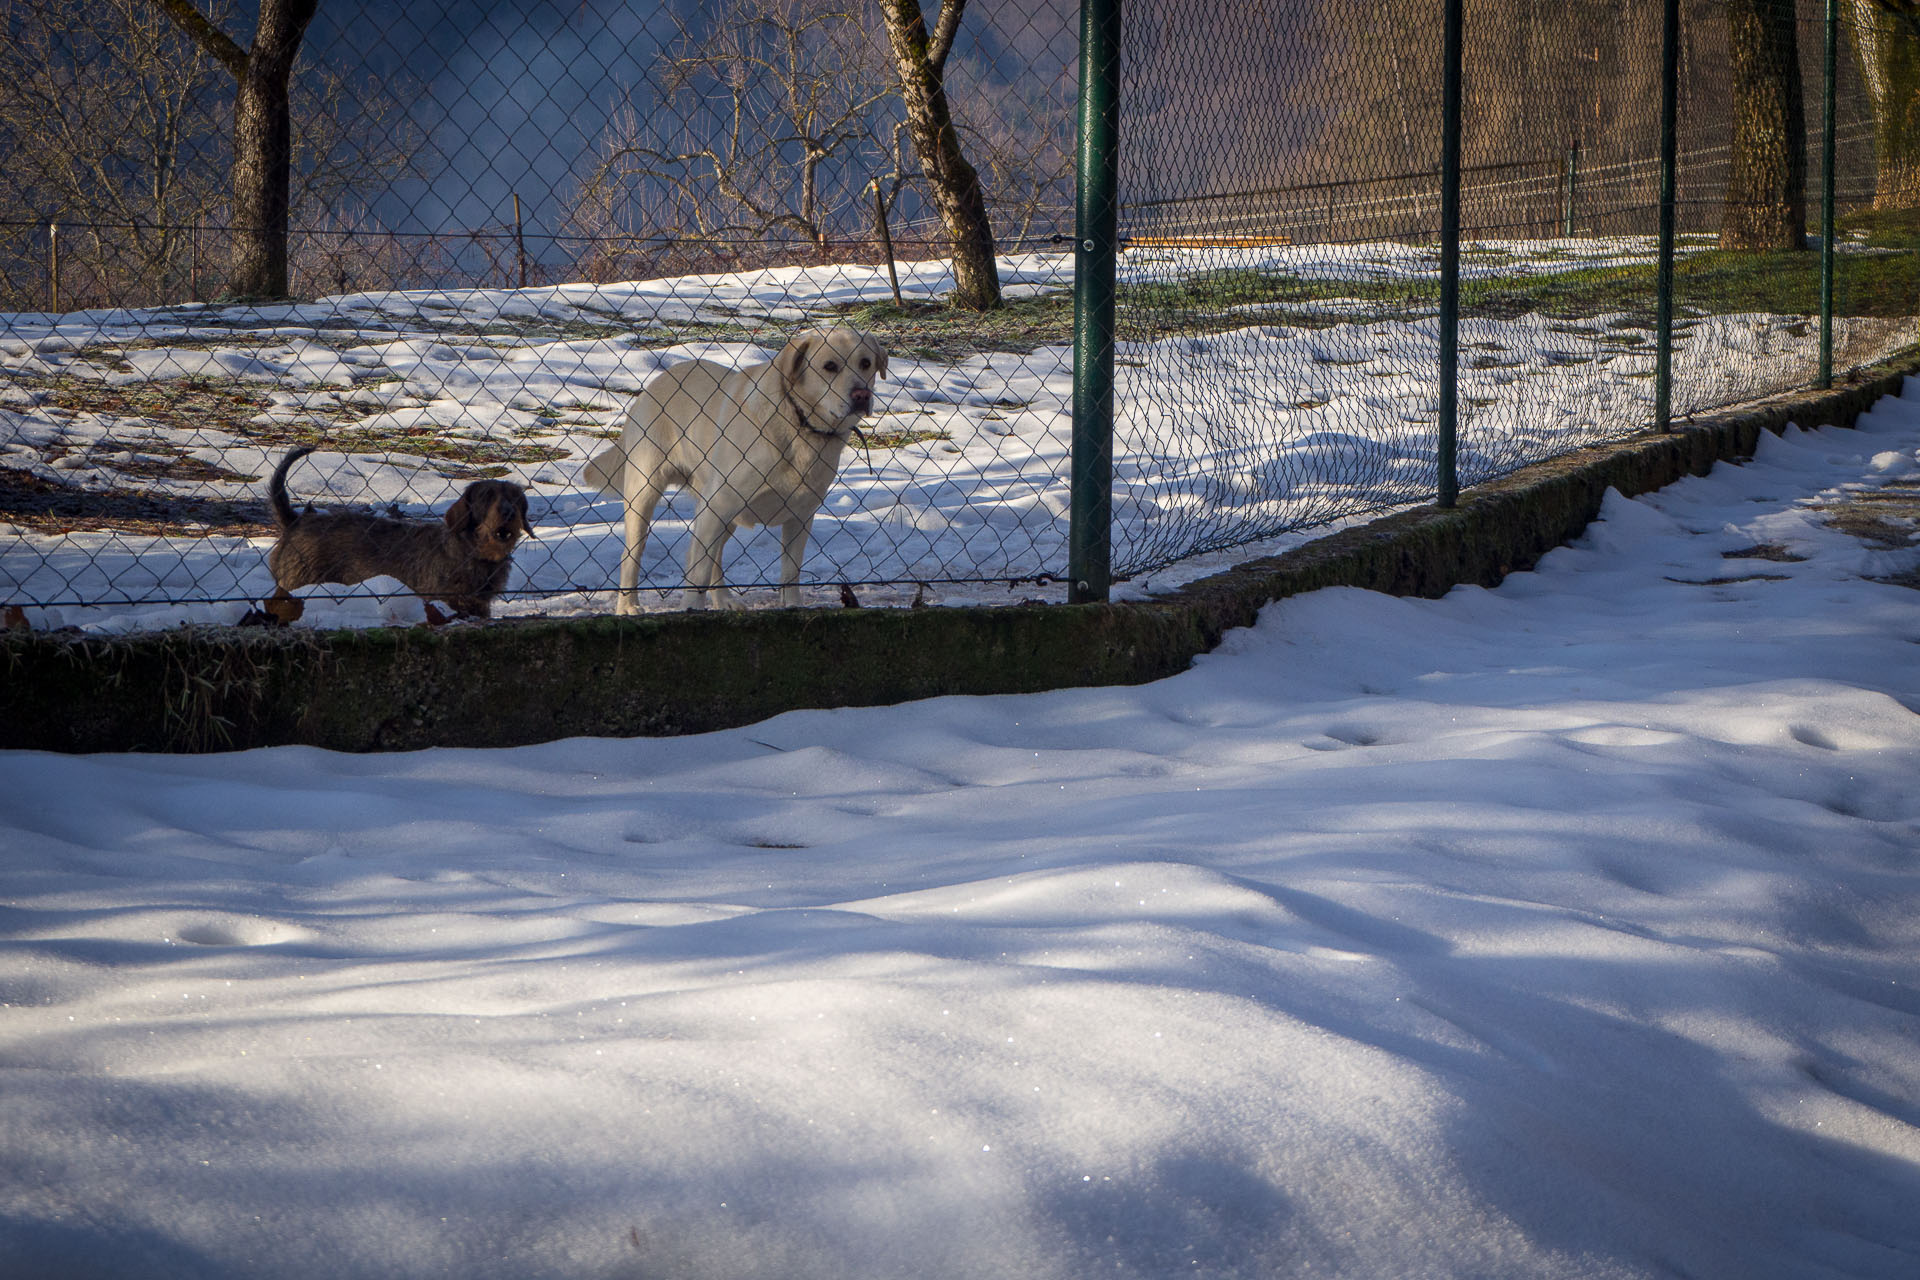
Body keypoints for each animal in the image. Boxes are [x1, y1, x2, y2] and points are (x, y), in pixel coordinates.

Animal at [579, 328, 887, 614]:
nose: (862, 394)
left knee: (712, 556)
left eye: (866, 363)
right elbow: (698, 574)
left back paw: (723, 600)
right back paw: (628, 606)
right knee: (634, 555)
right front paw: (691, 609)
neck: (799, 424)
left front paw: (792, 606)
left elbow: (790, 572)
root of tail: (652, 386)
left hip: (721, 514)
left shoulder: (800, 516)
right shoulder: (718, 504)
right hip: (647, 494)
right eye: (829, 366)